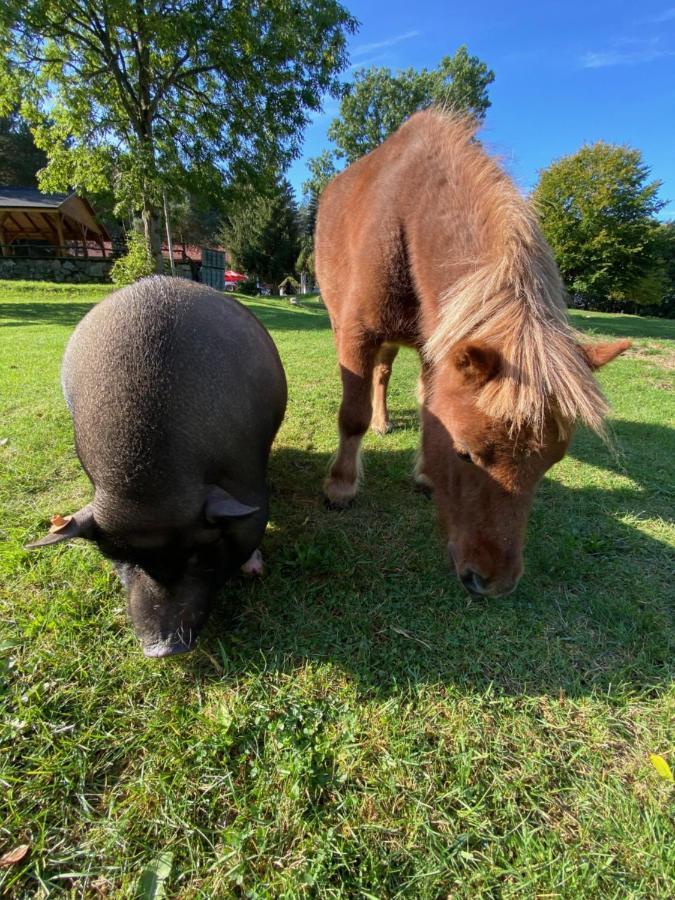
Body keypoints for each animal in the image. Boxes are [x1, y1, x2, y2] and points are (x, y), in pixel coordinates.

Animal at [314, 109, 632, 596]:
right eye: (465, 453)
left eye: (552, 462)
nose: (493, 582)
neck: (409, 210)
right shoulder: (358, 333)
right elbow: (352, 415)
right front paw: (341, 486)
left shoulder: (439, 346)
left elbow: (429, 405)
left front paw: (423, 473)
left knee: (383, 376)